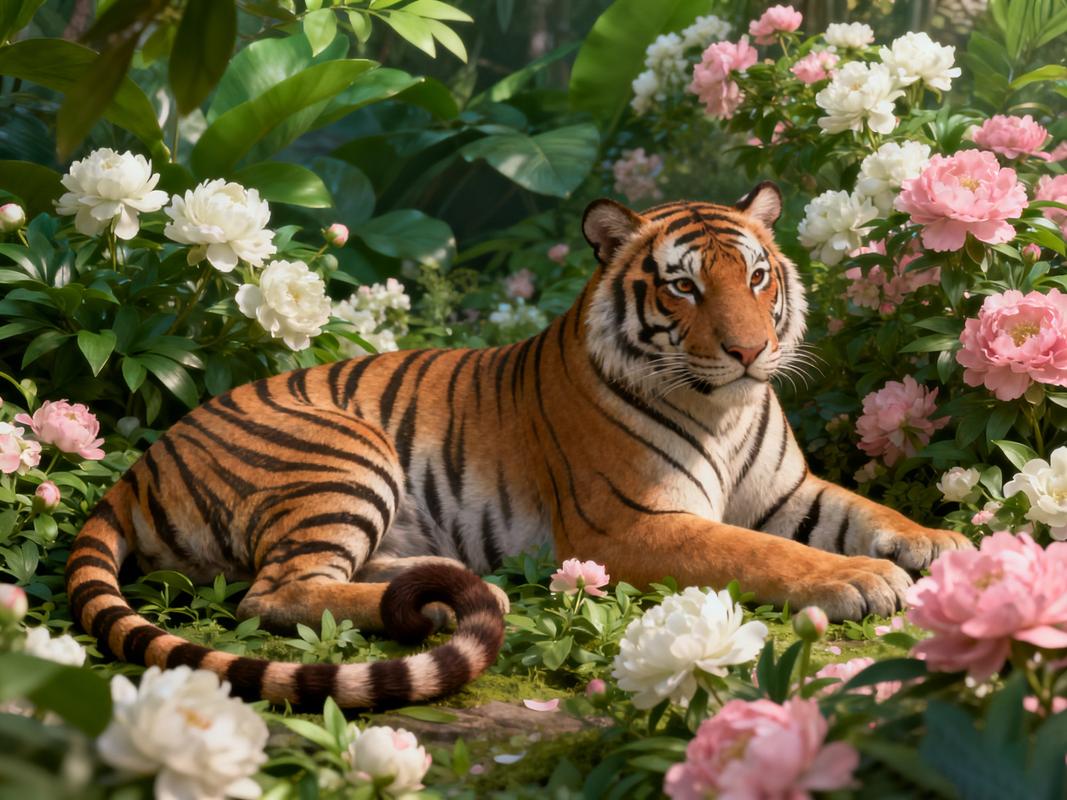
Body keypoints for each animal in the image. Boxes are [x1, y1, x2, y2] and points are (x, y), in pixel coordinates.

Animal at [65, 182, 972, 710]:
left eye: (755, 277)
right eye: (683, 286)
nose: (752, 351)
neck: (727, 407)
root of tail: (135, 470)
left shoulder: (787, 490)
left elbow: (866, 510)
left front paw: (946, 546)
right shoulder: (632, 524)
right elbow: (760, 553)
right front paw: (858, 579)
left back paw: (455, 583)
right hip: (342, 453)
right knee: (273, 593)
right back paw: (450, 604)